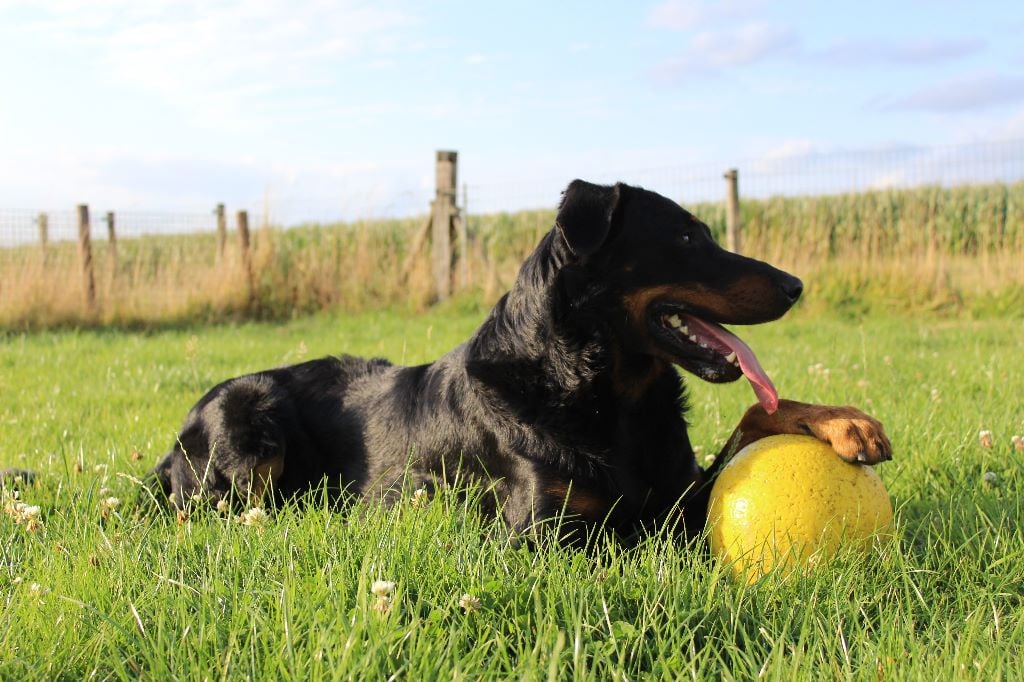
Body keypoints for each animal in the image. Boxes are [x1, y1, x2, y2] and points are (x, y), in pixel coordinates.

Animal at [149, 179, 888, 540]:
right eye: (686, 238)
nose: (795, 285)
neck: (602, 391)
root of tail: (171, 444)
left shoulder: (678, 498)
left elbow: (755, 414)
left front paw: (845, 421)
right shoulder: (542, 534)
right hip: (249, 418)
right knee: (209, 511)